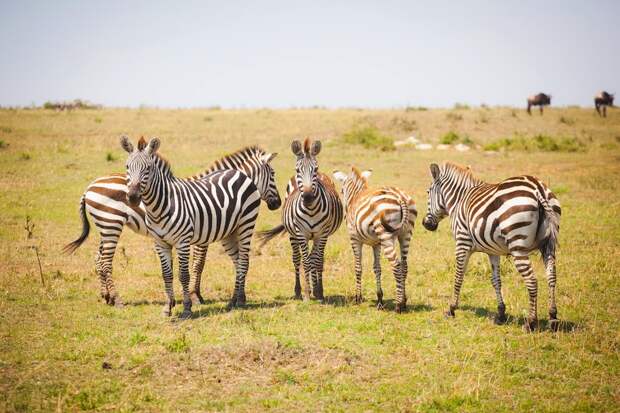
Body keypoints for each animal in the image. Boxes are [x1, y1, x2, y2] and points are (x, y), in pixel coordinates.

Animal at [64, 138, 280, 312]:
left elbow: (196, 265)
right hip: (111, 224)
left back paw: (106, 296)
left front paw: (194, 297)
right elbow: (198, 264)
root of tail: (89, 187)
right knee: (106, 261)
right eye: (273, 174)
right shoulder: (201, 238)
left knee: (98, 259)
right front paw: (195, 296)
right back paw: (116, 300)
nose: (277, 204)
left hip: (105, 226)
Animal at [256, 138, 344, 300]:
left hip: (317, 236)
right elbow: (306, 261)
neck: (311, 210)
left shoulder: (322, 234)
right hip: (293, 235)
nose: (308, 197)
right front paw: (307, 293)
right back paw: (298, 291)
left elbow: (317, 261)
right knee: (298, 259)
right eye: (297, 170)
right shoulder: (301, 233)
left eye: (315, 169)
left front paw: (318, 291)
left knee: (316, 257)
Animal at [334, 166, 416, 310]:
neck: (356, 196)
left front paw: (358, 297)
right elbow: (377, 268)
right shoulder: (376, 244)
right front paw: (379, 300)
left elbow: (358, 267)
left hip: (386, 235)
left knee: (396, 265)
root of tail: (400, 196)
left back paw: (399, 305)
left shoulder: (354, 239)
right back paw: (404, 301)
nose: (344, 213)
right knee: (404, 265)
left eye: (342, 190)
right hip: (405, 234)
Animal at [422, 162, 560, 332]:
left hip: (518, 246)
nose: (425, 224)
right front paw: (500, 314)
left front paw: (451, 309)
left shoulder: (462, 242)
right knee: (551, 276)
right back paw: (553, 317)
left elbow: (458, 276)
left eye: (428, 192)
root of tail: (537, 187)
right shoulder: (493, 251)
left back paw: (530, 322)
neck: (458, 200)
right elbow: (496, 280)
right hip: (548, 245)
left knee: (532, 281)